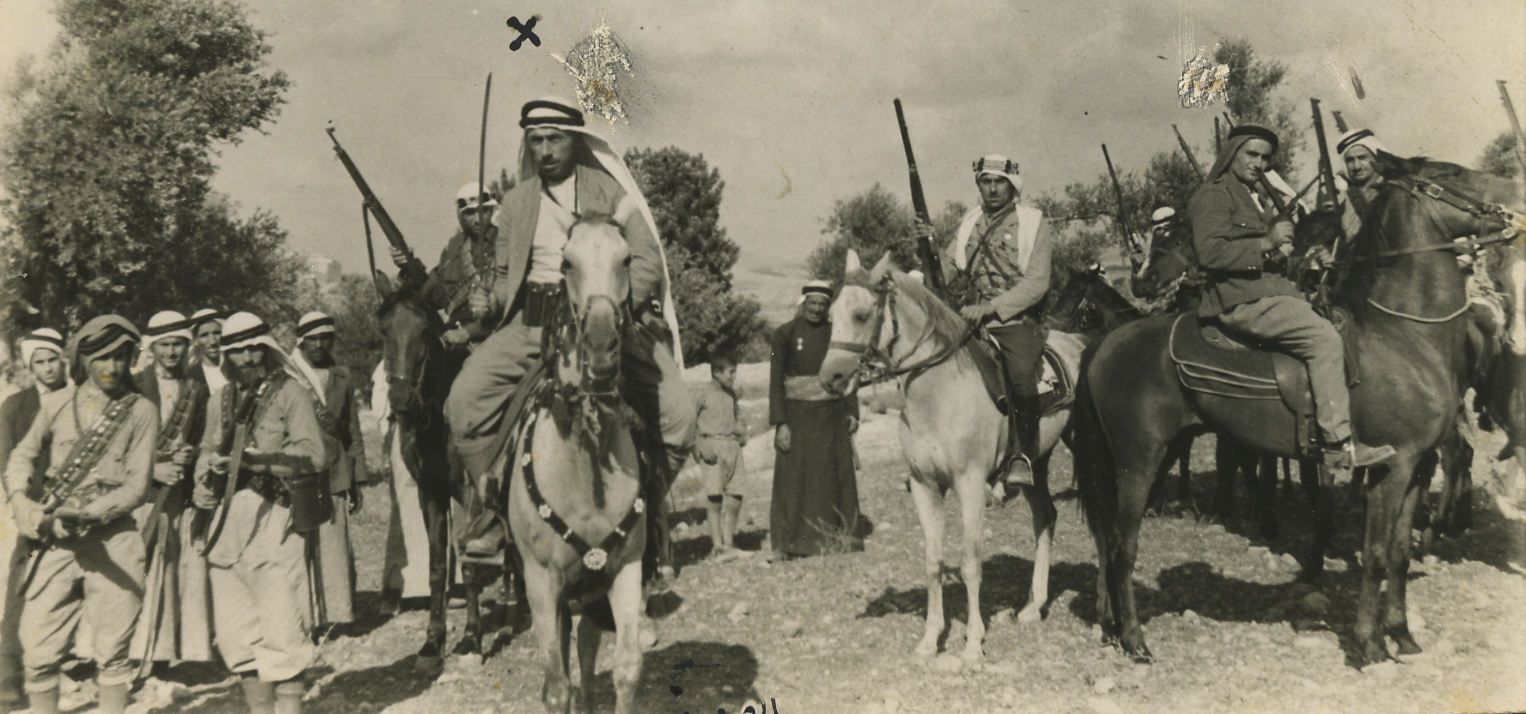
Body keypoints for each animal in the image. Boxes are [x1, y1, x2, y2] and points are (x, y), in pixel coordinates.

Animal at [505, 215, 650, 714]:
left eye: (626, 258)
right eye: (566, 263)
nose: (602, 348)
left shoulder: (624, 569)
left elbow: (626, 669)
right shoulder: (541, 582)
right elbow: (555, 687)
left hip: (587, 590)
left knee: (585, 649)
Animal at [817, 249, 1088, 664]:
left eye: (862, 314)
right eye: (831, 317)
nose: (829, 378)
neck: (938, 390)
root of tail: (1078, 341)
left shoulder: (970, 485)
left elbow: (970, 564)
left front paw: (973, 643)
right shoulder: (925, 486)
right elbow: (933, 563)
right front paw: (930, 639)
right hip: (1036, 464)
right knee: (1045, 517)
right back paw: (1032, 606)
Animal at [1073, 154, 1520, 666]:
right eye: (1451, 175)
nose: (1511, 202)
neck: (1402, 337)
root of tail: (1106, 342)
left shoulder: (1417, 469)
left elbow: (1399, 554)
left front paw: (1401, 634)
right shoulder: (1392, 468)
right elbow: (1376, 554)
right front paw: (1369, 644)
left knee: (1109, 542)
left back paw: (1112, 627)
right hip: (1137, 463)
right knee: (1122, 546)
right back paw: (1134, 640)